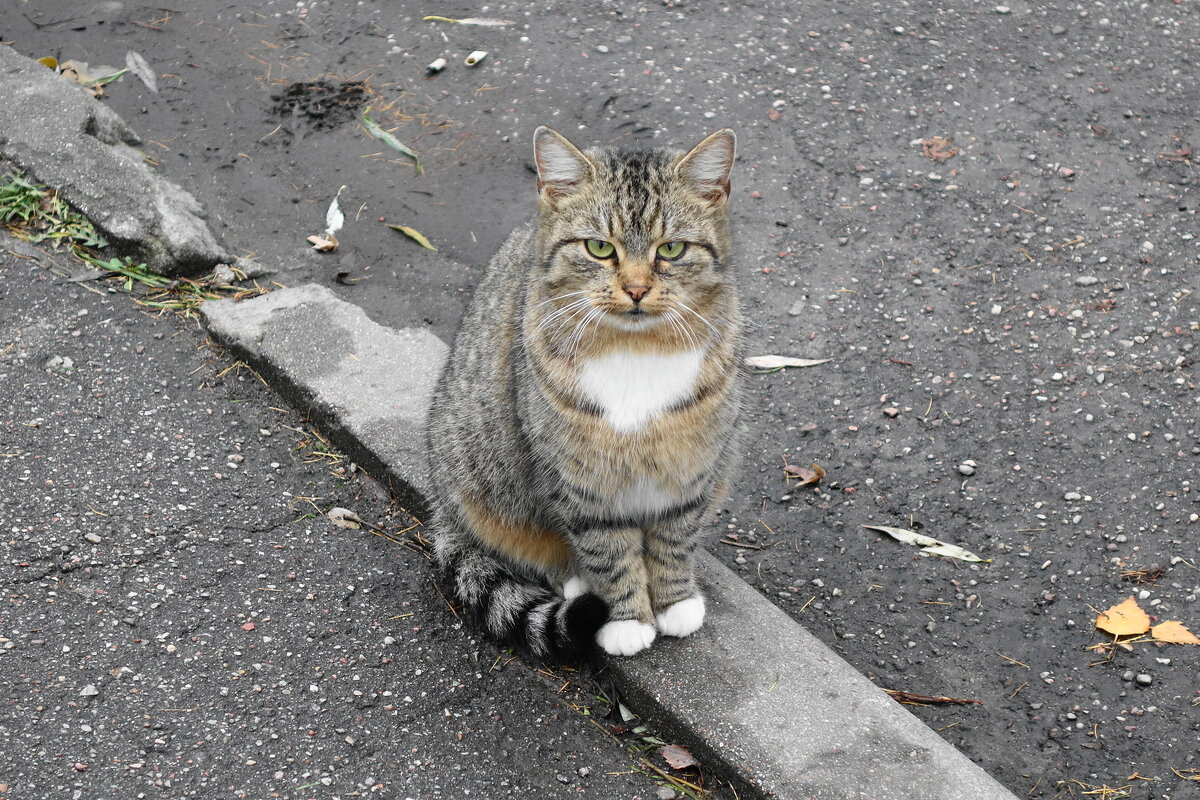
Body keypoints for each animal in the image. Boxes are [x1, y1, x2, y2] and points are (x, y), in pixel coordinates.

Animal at [422, 126, 739, 657]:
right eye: (599, 248)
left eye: (672, 250)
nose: (636, 289)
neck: (636, 349)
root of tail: (439, 501)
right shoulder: (578, 484)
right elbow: (608, 552)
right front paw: (627, 619)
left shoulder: (692, 470)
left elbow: (674, 539)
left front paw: (675, 602)